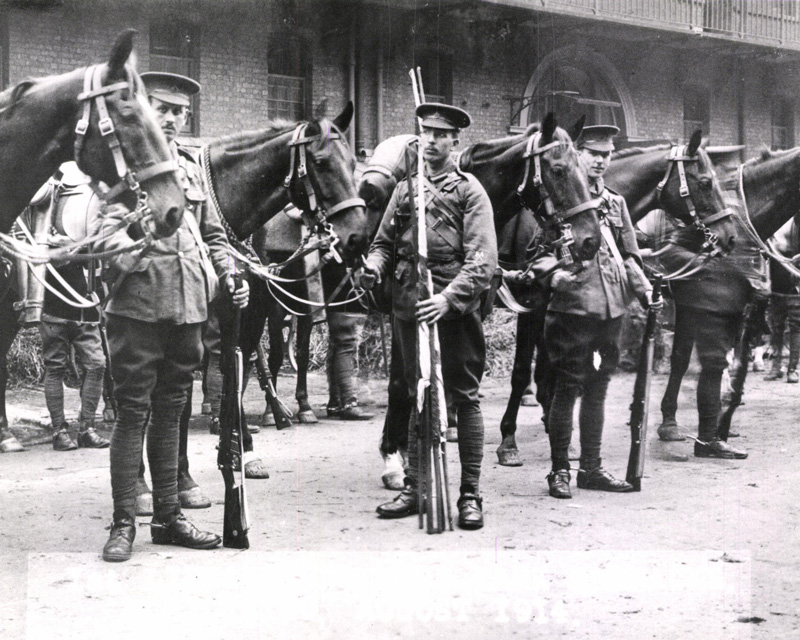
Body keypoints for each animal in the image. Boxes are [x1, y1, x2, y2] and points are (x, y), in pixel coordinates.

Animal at [496, 131, 740, 464]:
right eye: (704, 182)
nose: (730, 236)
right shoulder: (532, 306)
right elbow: (522, 370)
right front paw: (509, 440)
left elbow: (552, 369)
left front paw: (558, 431)